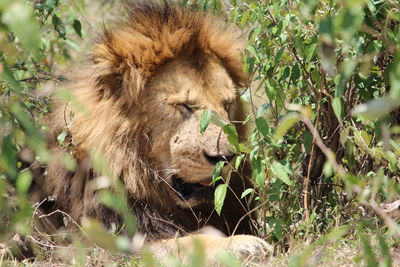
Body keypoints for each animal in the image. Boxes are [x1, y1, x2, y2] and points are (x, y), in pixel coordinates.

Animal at [28, 0, 272, 264]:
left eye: (227, 104)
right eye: (184, 106)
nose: (225, 158)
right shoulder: (112, 243)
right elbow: (190, 241)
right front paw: (245, 244)